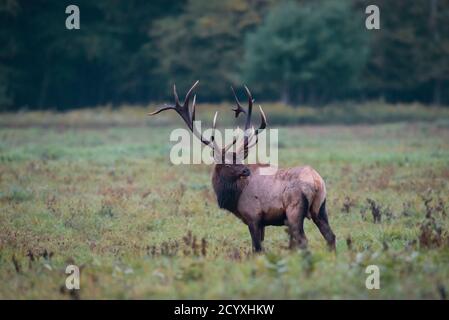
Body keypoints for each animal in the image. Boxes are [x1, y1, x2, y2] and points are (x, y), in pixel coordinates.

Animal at [149, 81, 334, 251]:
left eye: (239, 160)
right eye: (228, 163)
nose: (246, 170)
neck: (234, 197)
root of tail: (316, 182)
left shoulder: (253, 217)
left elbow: (257, 249)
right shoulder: (262, 222)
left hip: (294, 211)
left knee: (304, 241)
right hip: (321, 208)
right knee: (330, 236)